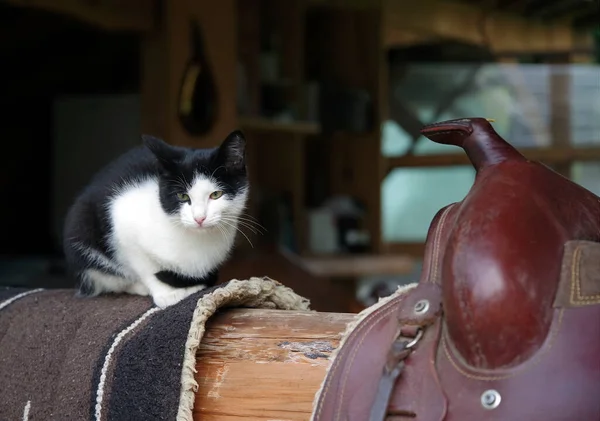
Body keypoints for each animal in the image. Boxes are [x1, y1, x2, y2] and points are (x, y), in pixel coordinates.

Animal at [61, 130, 248, 306]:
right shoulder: (122, 224)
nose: (199, 218)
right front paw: (166, 294)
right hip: (81, 227)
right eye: (182, 196)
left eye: (216, 194)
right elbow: (146, 267)